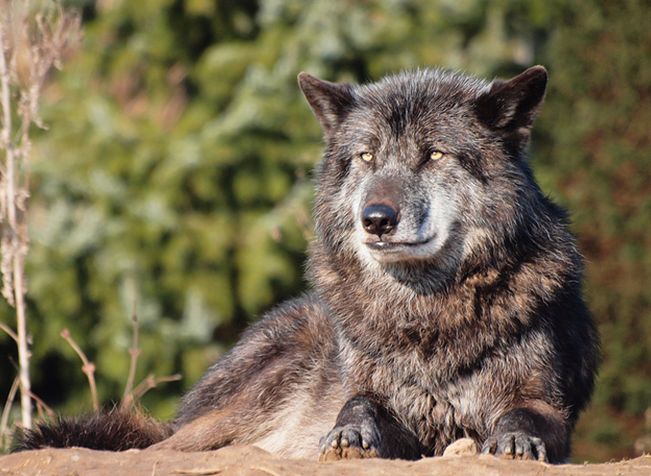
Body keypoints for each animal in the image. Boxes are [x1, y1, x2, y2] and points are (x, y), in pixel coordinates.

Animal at [17, 66, 599, 463]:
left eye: (434, 154)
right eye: (366, 156)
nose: (376, 219)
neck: (426, 315)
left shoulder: (544, 402)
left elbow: (527, 414)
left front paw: (516, 437)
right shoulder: (376, 396)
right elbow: (359, 405)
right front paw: (349, 433)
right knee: (153, 449)